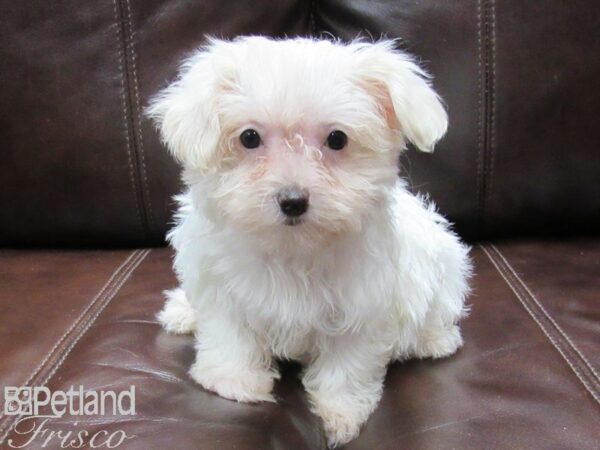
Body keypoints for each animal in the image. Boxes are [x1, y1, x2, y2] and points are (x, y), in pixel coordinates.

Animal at [148, 36, 472, 446]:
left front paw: (341, 412)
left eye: (337, 139)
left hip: (445, 264)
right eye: (249, 137)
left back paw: (436, 339)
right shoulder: (219, 285)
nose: (293, 200)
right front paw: (234, 379)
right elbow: (230, 331)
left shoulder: (364, 301)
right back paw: (181, 311)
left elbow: (348, 359)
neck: (292, 247)